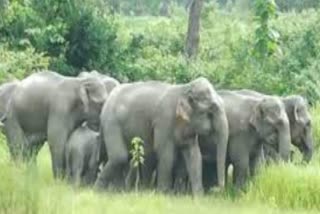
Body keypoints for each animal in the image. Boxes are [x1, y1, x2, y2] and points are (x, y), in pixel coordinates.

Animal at [94, 77, 229, 195]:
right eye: (211, 110)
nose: (219, 190)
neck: (184, 88)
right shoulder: (164, 121)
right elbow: (166, 154)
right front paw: (163, 194)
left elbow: (194, 155)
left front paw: (198, 199)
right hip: (112, 123)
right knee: (120, 156)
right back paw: (97, 192)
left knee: (126, 158)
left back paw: (118, 191)